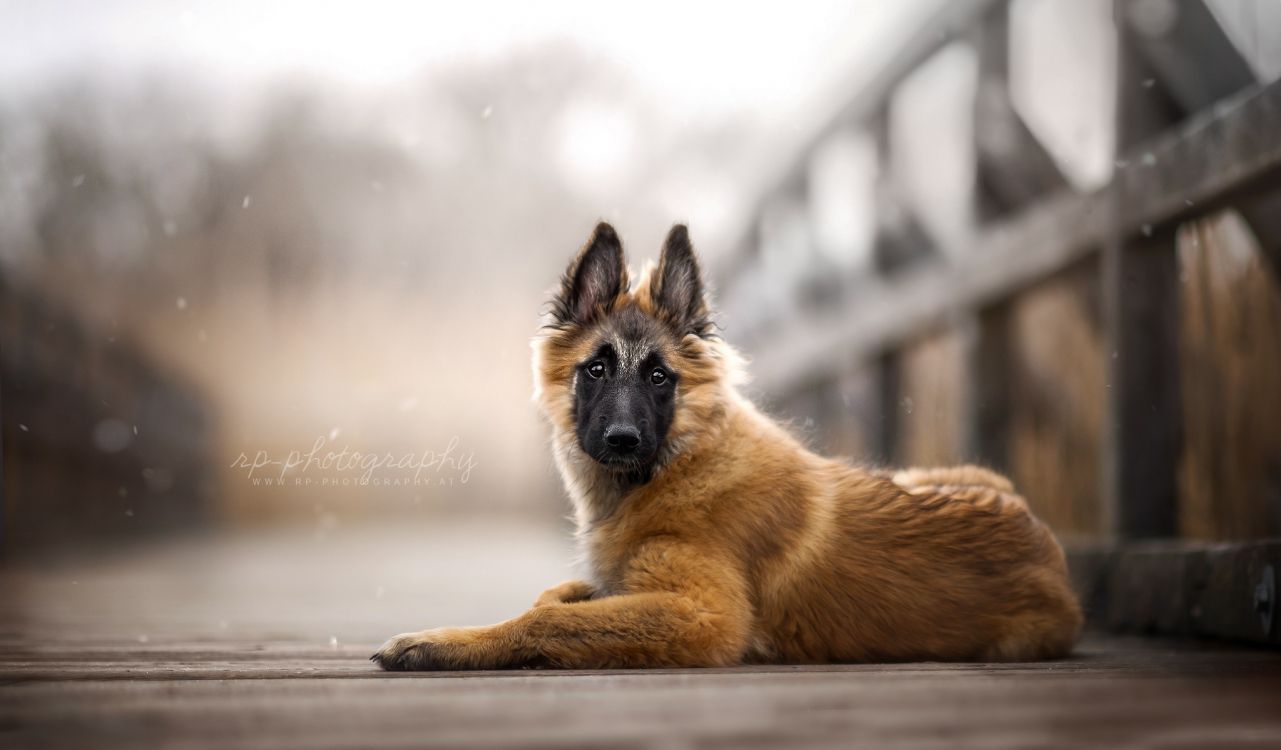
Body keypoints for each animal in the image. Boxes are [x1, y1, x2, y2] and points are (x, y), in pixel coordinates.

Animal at [374, 220, 1081, 666]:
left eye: (660, 377)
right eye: (595, 369)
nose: (623, 440)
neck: (676, 467)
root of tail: (1048, 545)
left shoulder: (706, 615)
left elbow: (547, 617)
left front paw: (440, 642)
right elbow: (563, 597)